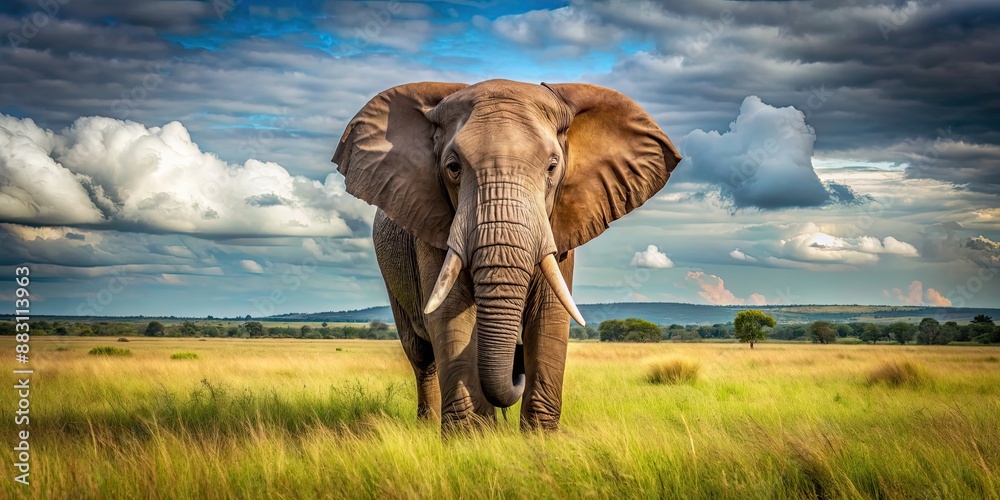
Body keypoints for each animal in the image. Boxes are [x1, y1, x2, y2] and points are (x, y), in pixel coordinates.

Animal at [333, 79, 680, 432]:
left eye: (552, 167)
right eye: (453, 168)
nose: (516, 366)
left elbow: (550, 315)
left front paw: (538, 438)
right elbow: (449, 313)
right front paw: (470, 439)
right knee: (421, 356)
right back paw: (429, 425)